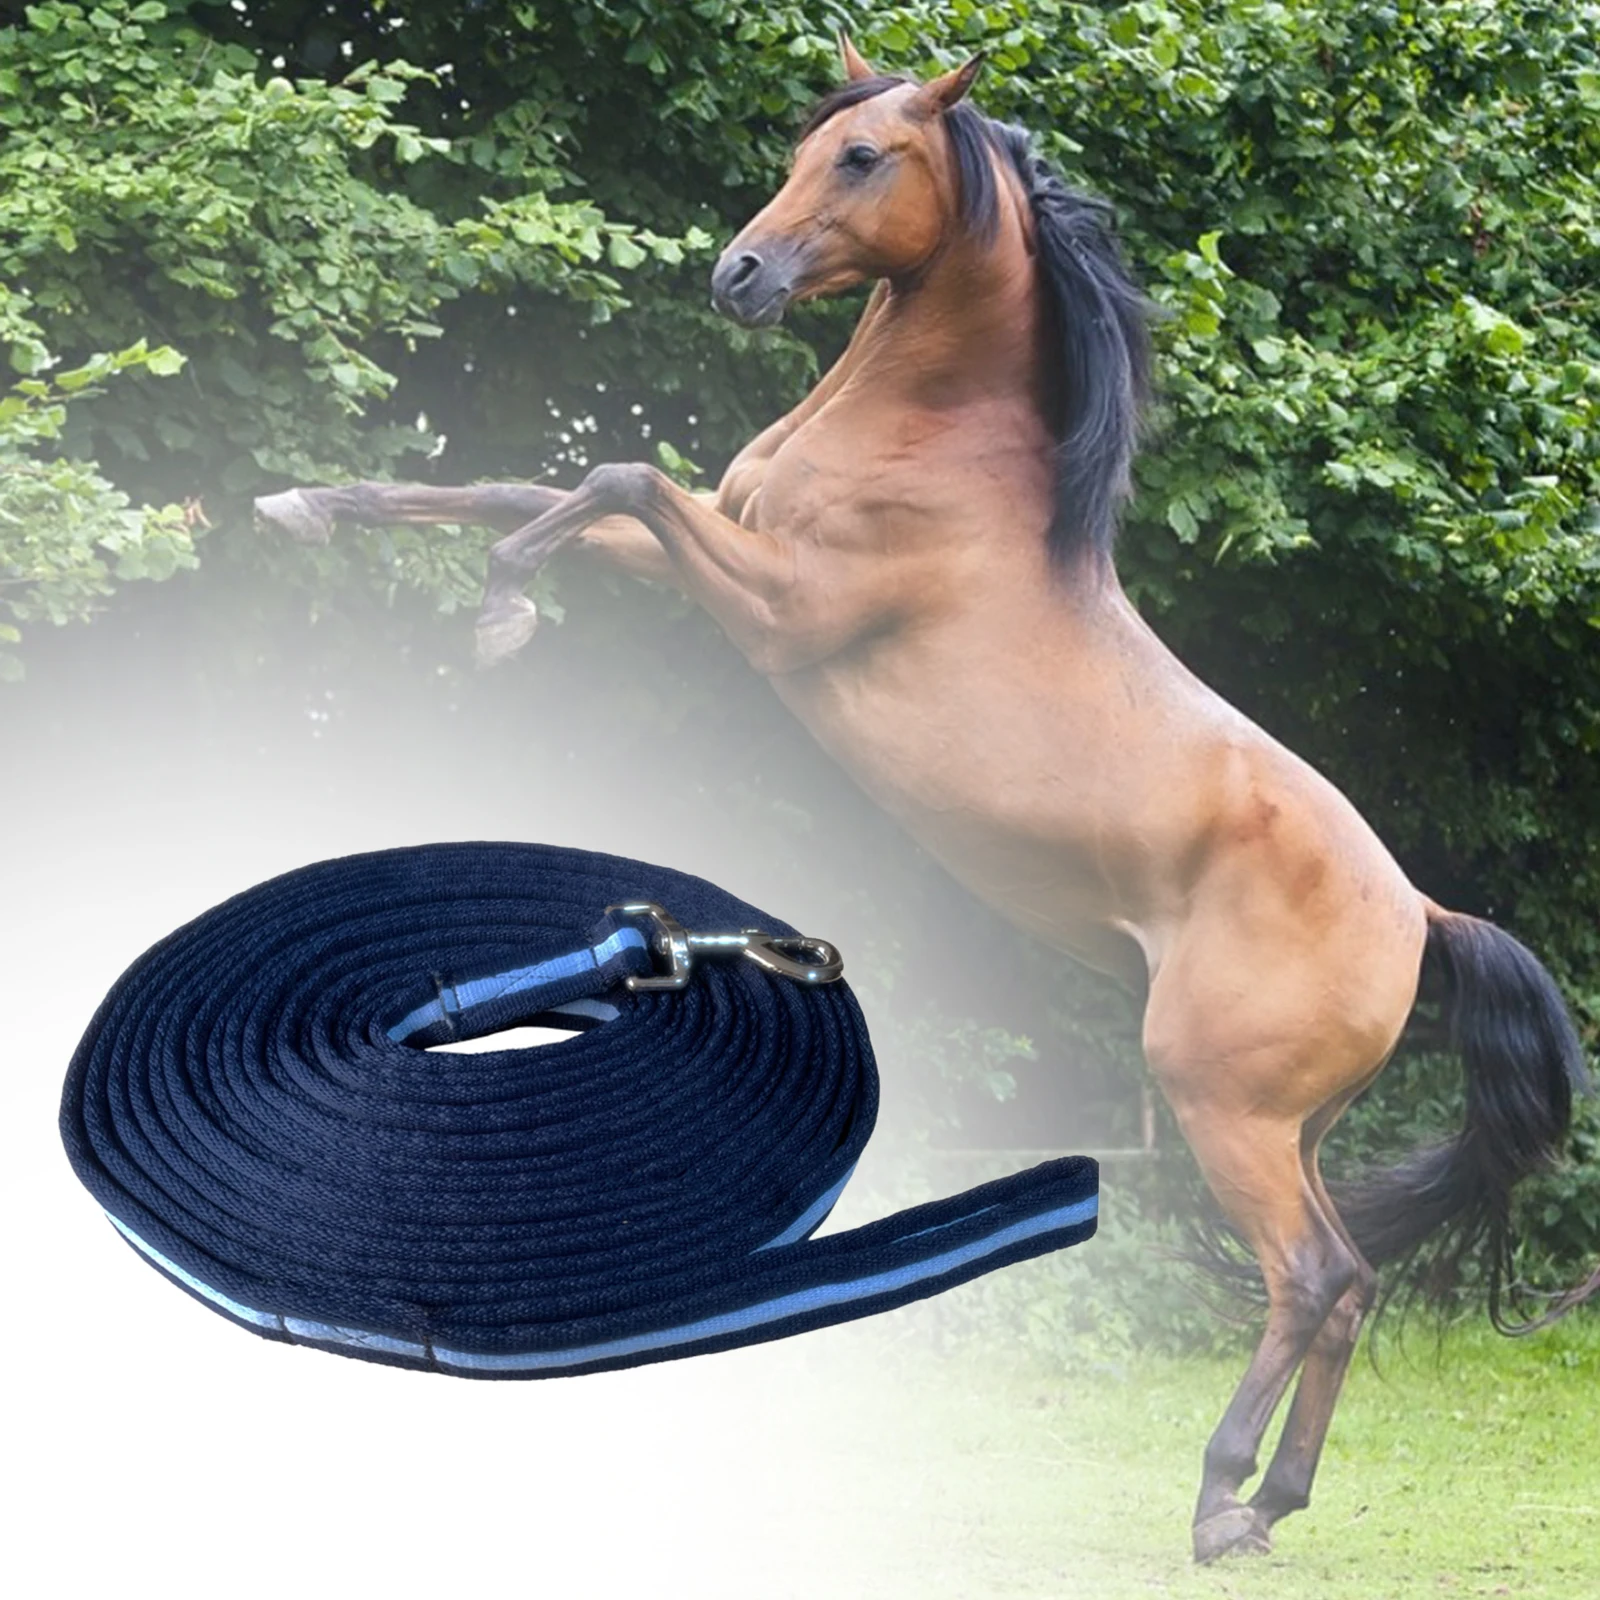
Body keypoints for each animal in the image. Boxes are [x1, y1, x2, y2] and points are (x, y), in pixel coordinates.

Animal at [254, 39, 1591, 1562]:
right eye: (805, 147)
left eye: (862, 156)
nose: (738, 275)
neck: (928, 447)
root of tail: (1420, 914)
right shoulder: (707, 551)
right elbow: (515, 485)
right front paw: (309, 505)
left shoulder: (777, 610)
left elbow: (610, 474)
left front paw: (501, 614)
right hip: (1287, 1124)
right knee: (1355, 1279)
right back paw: (1273, 1504)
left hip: (1223, 1107)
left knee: (1309, 1275)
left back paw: (1215, 1503)